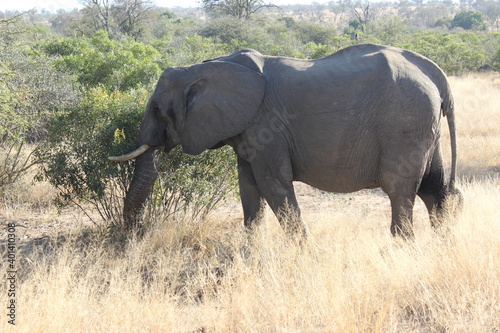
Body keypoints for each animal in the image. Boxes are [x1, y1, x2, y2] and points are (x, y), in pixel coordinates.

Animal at [109, 44, 460, 239]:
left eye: (157, 109)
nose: (135, 234)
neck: (204, 66)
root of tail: (434, 74)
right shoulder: (246, 132)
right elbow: (249, 191)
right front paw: (250, 258)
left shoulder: (266, 128)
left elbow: (274, 186)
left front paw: (306, 258)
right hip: (425, 129)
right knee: (435, 189)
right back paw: (443, 247)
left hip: (404, 125)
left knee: (400, 191)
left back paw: (402, 249)